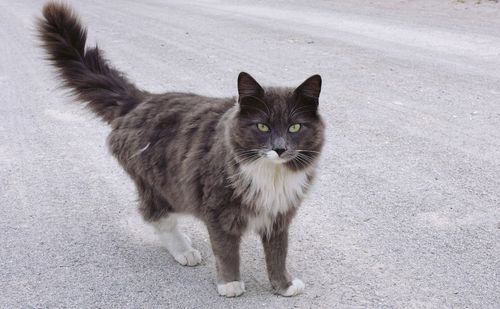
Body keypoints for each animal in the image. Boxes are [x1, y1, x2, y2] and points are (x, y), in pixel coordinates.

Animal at [36, 1, 324, 296]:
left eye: (295, 127)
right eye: (262, 126)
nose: (279, 148)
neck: (270, 174)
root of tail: (142, 99)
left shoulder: (279, 214)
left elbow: (278, 253)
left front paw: (283, 285)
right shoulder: (217, 210)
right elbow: (226, 251)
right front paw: (230, 284)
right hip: (162, 183)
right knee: (155, 216)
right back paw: (184, 250)